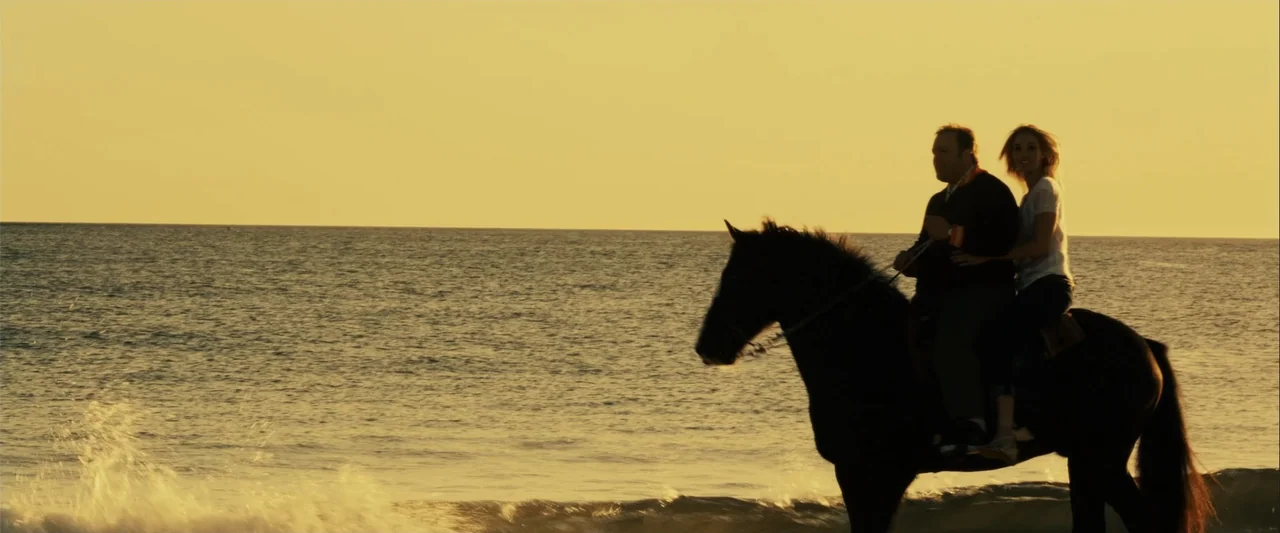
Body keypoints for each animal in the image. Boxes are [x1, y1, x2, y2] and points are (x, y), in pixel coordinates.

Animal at [693, 219, 1213, 533]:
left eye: (740, 278)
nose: (706, 346)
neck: (868, 347)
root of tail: (1145, 347)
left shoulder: (876, 474)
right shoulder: (861, 476)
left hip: (1099, 458)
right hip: (1090, 461)